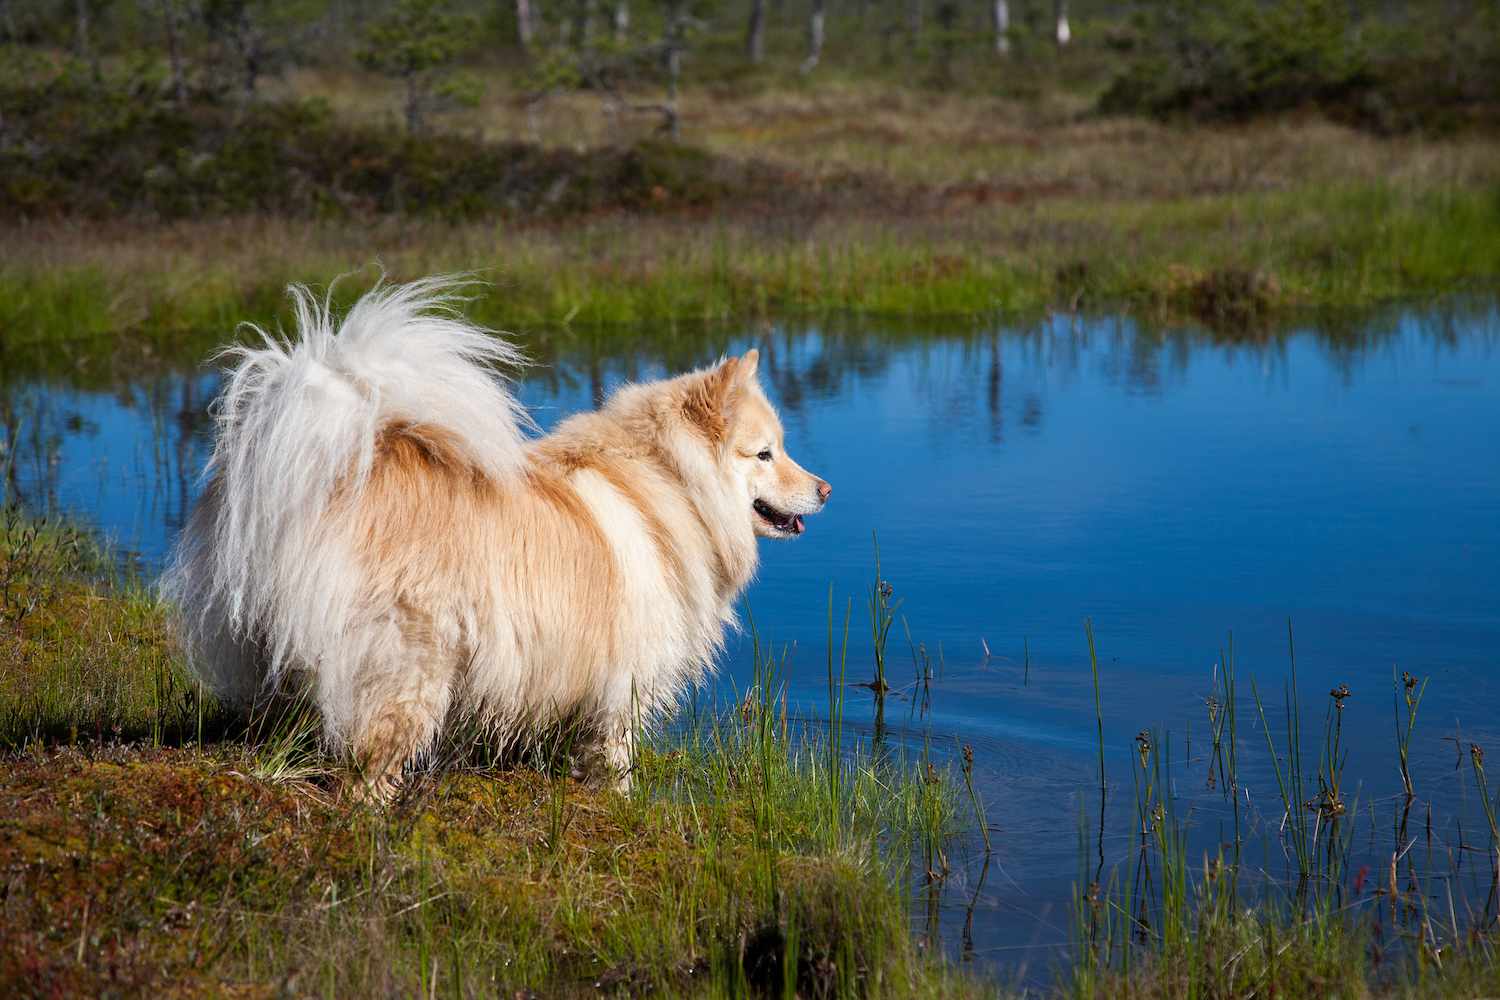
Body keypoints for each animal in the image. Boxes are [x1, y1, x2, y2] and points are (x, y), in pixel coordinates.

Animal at [164, 277, 834, 791]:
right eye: (766, 454)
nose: (826, 489)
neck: (667, 482)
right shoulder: (627, 679)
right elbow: (617, 759)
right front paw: (622, 805)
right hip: (409, 664)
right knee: (368, 768)